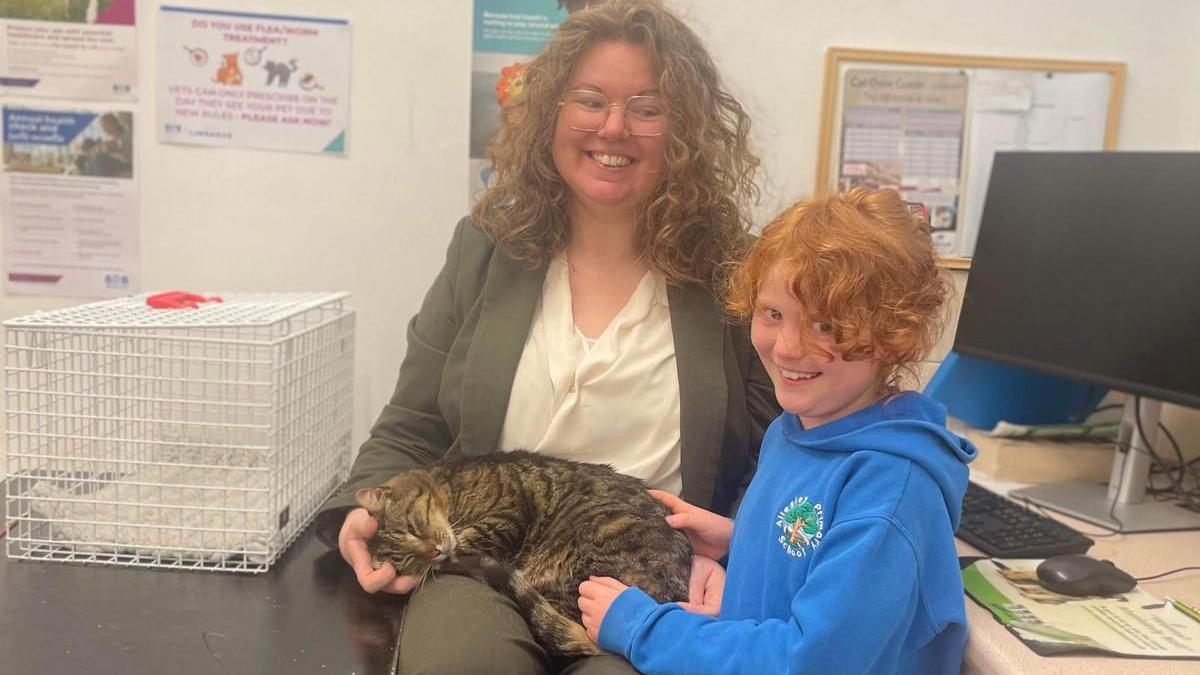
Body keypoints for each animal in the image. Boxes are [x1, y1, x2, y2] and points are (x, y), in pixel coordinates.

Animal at [355, 449, 691, 653]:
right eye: (411, 562)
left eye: (413, 528)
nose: (435, 552)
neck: (452, 493)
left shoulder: (508, 515)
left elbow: (471, 539)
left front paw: (453, 554)